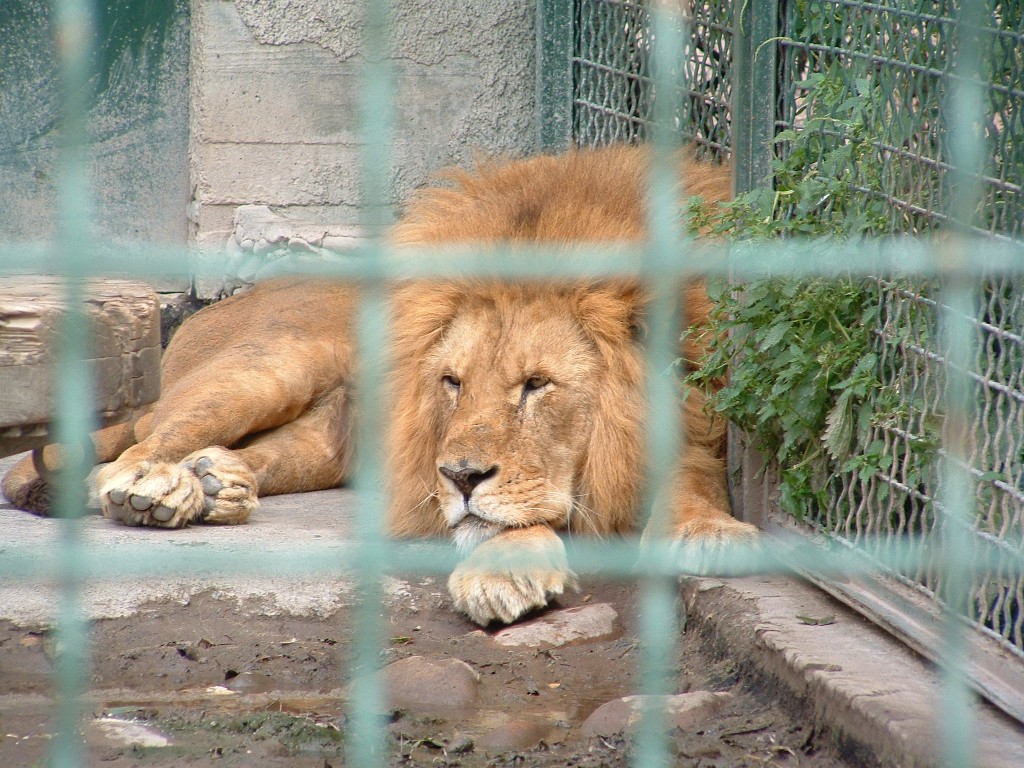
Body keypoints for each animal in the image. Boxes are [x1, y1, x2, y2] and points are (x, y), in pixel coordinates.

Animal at [2, 144, 758, 625]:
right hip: (271, 367)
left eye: (537, 384)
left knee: (260, 455)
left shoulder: (700, 427)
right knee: (124, 458)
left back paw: (218, 485)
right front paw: (503, 571)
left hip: (328, 441)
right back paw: (159, 491)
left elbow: (693, 479)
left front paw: (710, 532)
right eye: (452, 382)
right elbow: (510, 519)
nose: (459, 476)